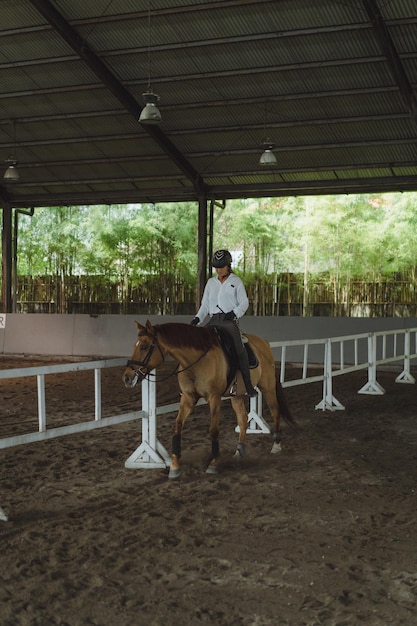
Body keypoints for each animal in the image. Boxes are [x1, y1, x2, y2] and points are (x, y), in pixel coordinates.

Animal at [122, 320, 298, 476]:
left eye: (144, 346)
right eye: (135, 346)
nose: (127, 377)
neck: (196, 361)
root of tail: (264, 343)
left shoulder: (214, 398)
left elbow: (213, 430)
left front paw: (213, 464)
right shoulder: (188, 398)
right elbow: (177, 426)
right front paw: (175, 466)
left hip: (268, 388)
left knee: (275, 412)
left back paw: (276, 446)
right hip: (237, 395)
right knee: (243, 418)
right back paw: (239, 452)